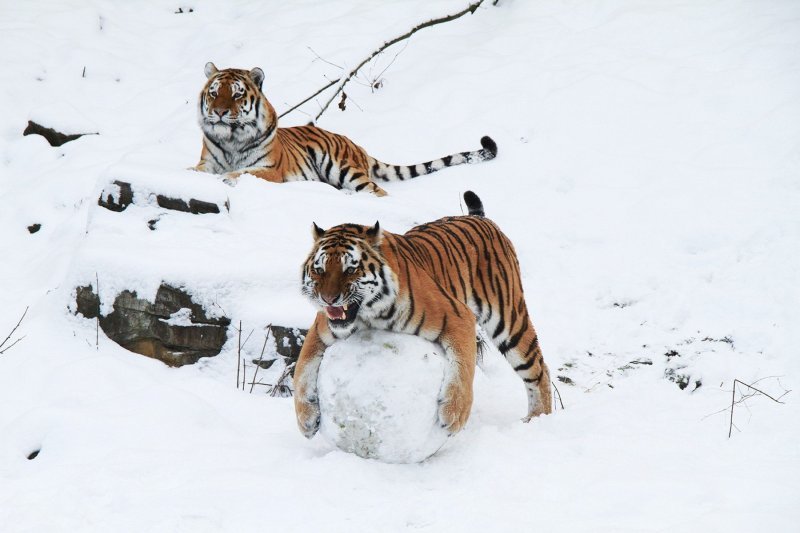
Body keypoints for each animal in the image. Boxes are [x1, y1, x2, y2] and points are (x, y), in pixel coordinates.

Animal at [194, 61, 496, 195]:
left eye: (236, 95)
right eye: (214, 93)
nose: (219, 112)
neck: (232, 139)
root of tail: (357, 145)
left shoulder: (270, 170)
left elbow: (242, 173)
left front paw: (227, 179)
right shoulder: (207, 163)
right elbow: (196, 171)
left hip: (343, 168)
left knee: (378, 192)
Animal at [292, 191, 552, 436]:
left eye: (350, 269)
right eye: (319, 270)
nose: (328, 299)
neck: (370, 315)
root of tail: (480, 219)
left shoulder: (458, 316)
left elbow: (463, 366)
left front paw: (454, 414)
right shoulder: (319, 330)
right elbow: (301, 369)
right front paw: (305, 420)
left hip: (508, 321)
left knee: (538, 370)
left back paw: (538, 419)